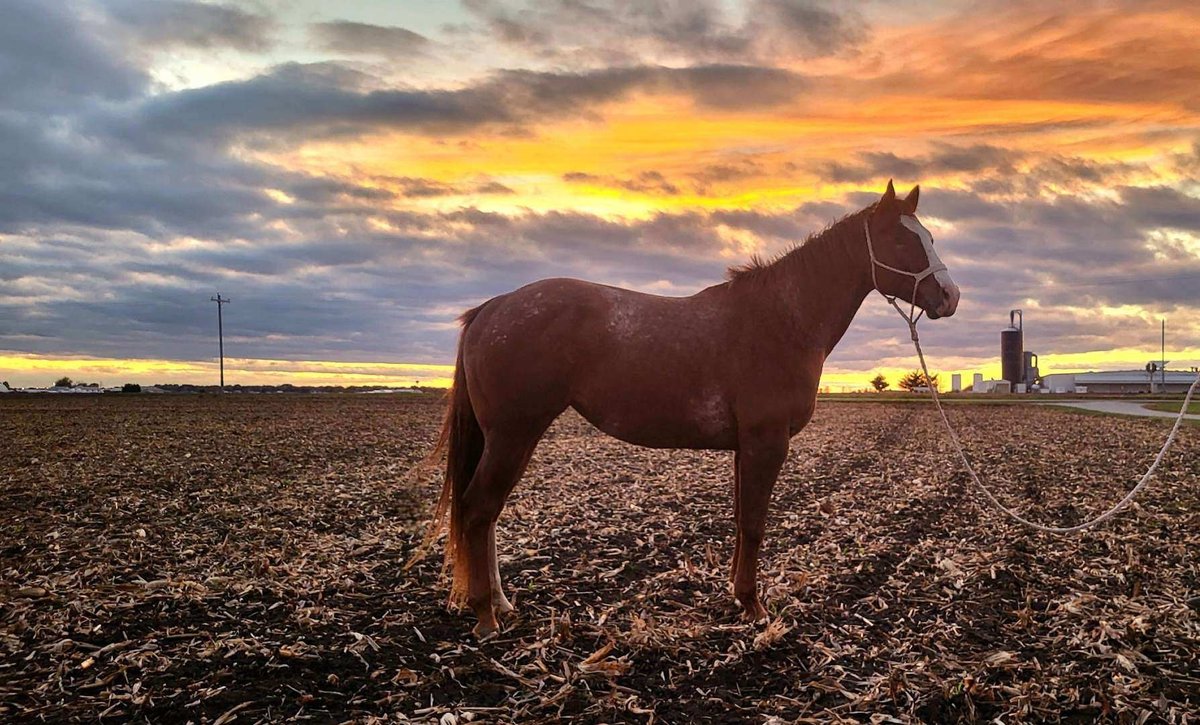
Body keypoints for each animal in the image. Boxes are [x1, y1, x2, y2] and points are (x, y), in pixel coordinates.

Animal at [417, 180, 959, 637]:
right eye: (903, 241)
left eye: (929, 236)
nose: (950, 298)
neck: (780, 320)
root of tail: (493, 307)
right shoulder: (766, 443)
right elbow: (755, 523)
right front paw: (754, 607)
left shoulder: (746, 447)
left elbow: (741, 520)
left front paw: (739, 598)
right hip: (513, 434)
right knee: (478, 509)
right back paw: (486, 617)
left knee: (483, 515)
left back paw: (501, 604)